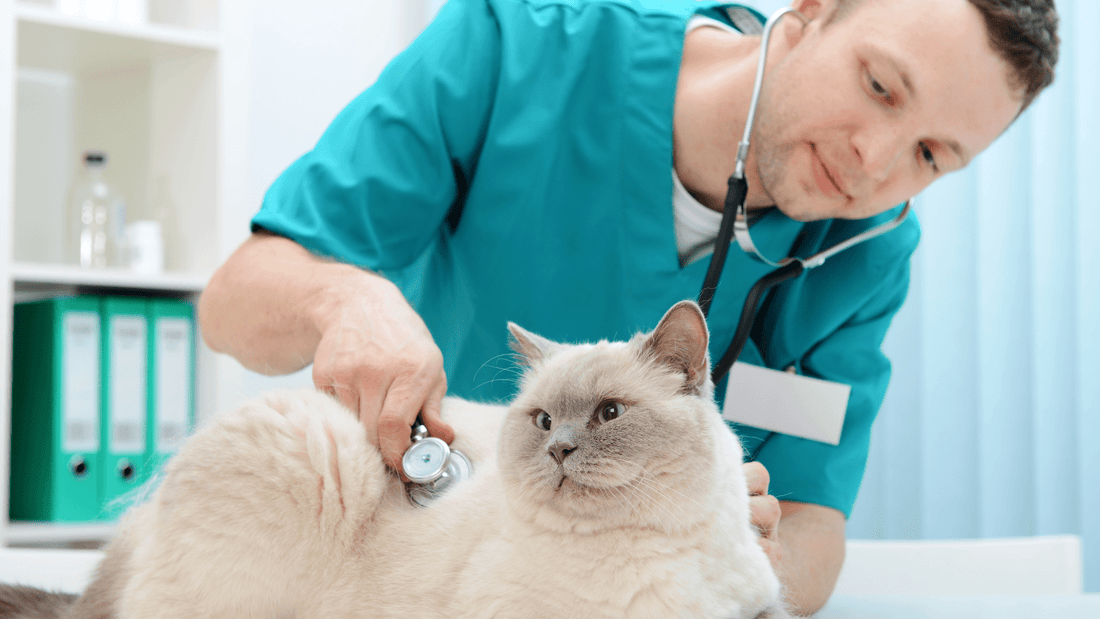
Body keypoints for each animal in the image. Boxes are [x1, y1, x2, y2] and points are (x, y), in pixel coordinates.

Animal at [25, 301, 792, 619]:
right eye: (544, 420)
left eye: (609, 414)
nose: (559, 449)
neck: (655, 546)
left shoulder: (758, 608)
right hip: (313, 448)